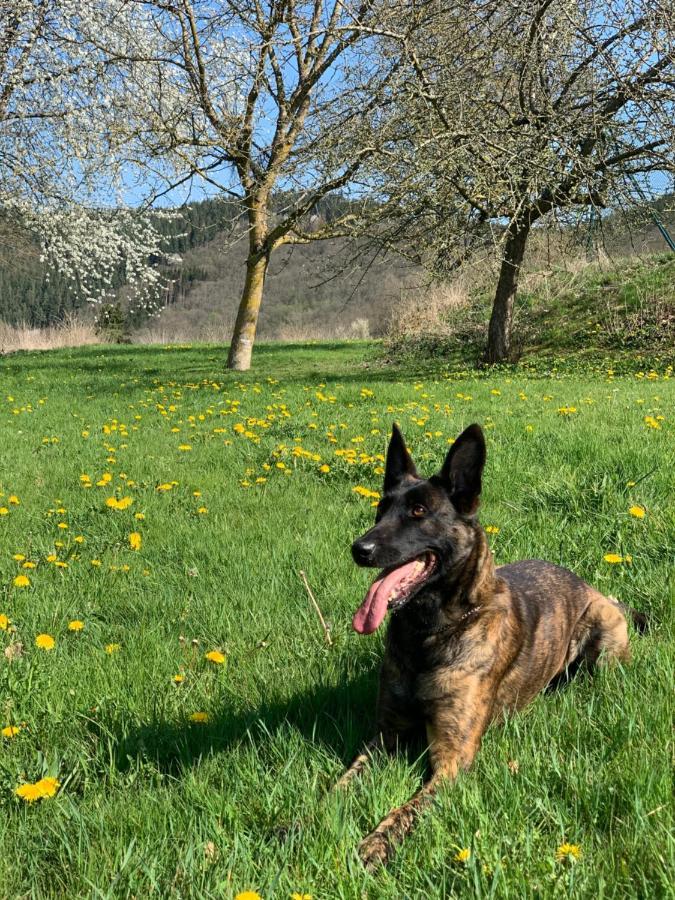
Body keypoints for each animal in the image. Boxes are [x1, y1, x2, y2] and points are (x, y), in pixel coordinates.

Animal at [340, 424, 648, 872]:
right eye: (381, 509)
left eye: (418, 512)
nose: (359, 549)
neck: (432, 632)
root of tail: (594, 588)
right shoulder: (385, 736)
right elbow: (341, 784)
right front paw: (302, 821)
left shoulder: (452, 760)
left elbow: (408, 810)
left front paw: (375, 843)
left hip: (602, 631)